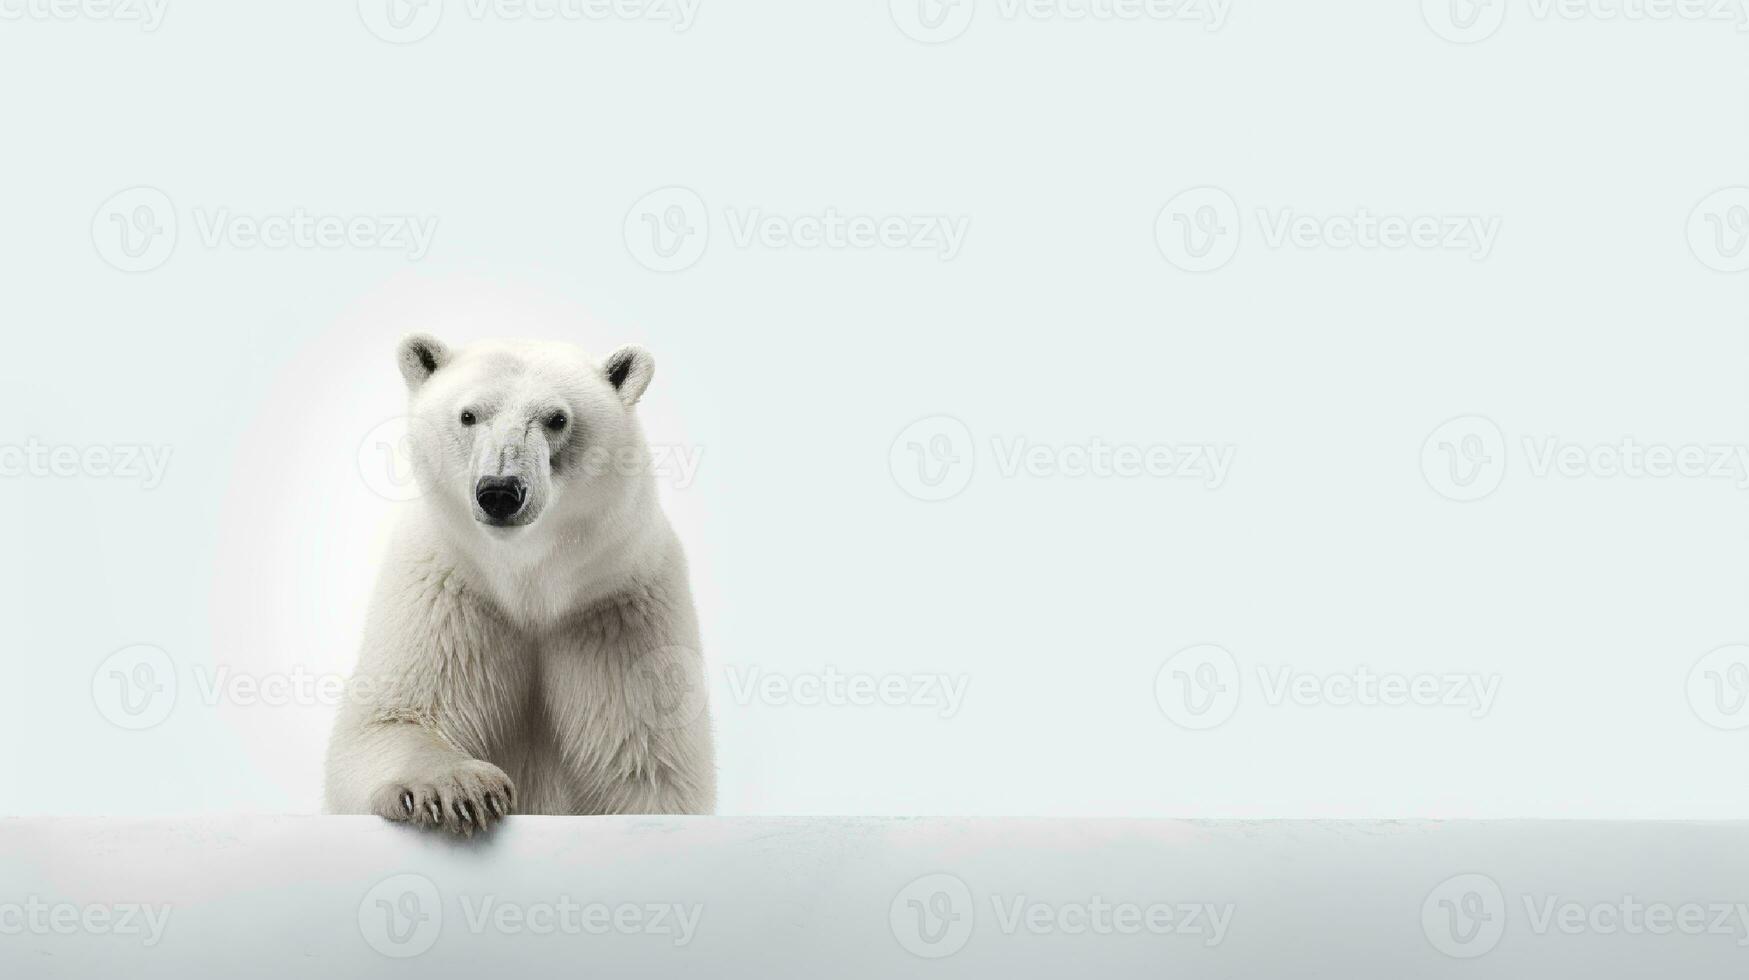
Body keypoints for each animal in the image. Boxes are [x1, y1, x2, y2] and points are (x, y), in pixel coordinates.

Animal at [325, 332, 713, 829]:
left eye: (557, 418)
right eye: (468, 415)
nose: (500, 492)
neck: (529, 582)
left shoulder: (617, 610)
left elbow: (648, 760)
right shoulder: (445, 589)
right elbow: (388, 720)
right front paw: (460, 790)